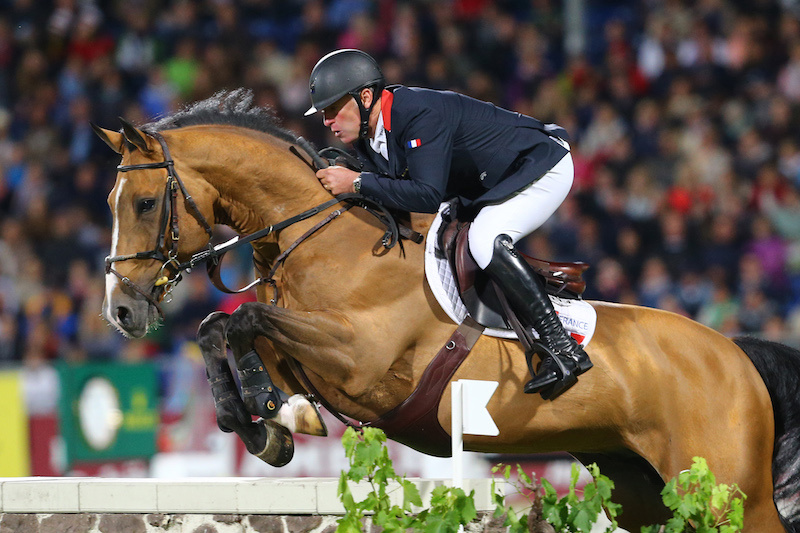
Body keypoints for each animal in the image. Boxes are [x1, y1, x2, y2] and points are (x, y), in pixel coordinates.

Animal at [95, 89, 800, 528]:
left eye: (146, 203)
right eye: (110, 203)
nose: (120, 312)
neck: (319, 237)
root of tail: (735, 352)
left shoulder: (361, 361)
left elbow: (240, 320)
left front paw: (270, 417)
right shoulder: (311, 351)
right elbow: (224, 327)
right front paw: (265, 422)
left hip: (728, 495)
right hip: (643, 490)